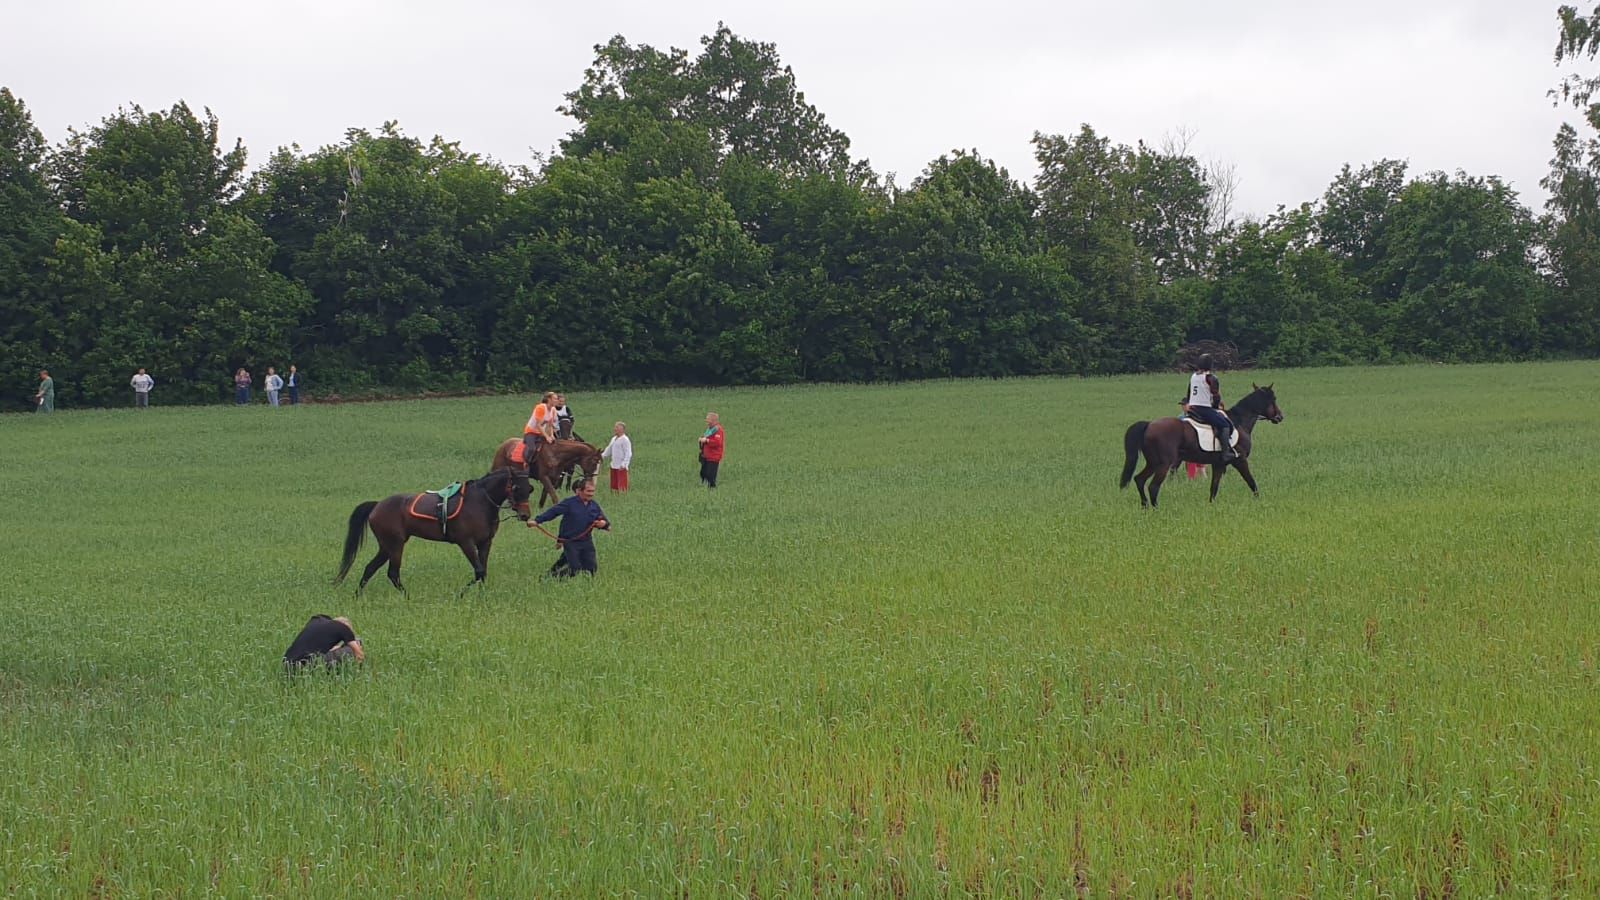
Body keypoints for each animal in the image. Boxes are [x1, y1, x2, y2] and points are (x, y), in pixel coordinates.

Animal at [334, 461, 534, 595]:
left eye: (530, 488)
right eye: (516, 487)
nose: (525, 515)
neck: (479, 502)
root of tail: (377, 505)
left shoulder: (485, 542)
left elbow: (483, 572)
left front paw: (481, 595)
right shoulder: (466, 543)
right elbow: (478, 571)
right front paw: (461, 594)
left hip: (386, 546)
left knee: (370, 568)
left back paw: (358, 596)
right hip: (395, 545)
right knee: (393, 573)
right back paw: (407, 597)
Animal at [1126, 377, 1286, 506]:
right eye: (1274, 399)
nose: (1280, 416)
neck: (1239, 421)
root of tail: (1149, 425)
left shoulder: (1218, 464)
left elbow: (1214, 488)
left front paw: (1211, 506)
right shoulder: (1240, 461)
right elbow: (1251, 482)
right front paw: (1260, 501)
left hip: (1153, 463)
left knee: (1139, 479)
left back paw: (1145, 506)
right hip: (1163, 464)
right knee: (1153, 486)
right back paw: (1156, 509)